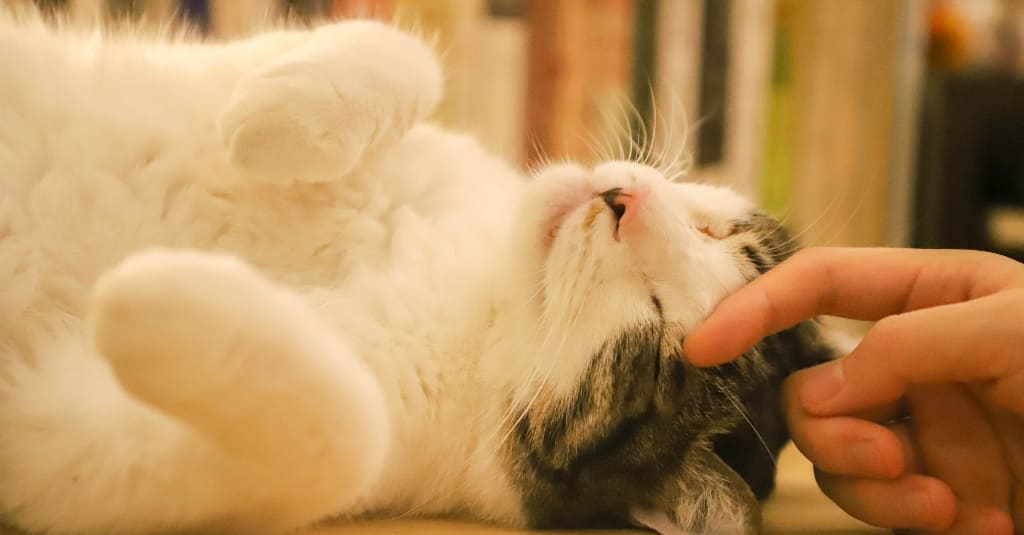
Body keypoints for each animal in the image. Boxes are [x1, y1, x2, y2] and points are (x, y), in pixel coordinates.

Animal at [0, 9, 831, 532]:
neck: (470, 282)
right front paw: (268, 118)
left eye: (653, 341)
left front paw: (152, 288)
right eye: (717, 232)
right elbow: (405, 55)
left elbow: (345, 433)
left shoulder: (75, 458)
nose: (620, 201)